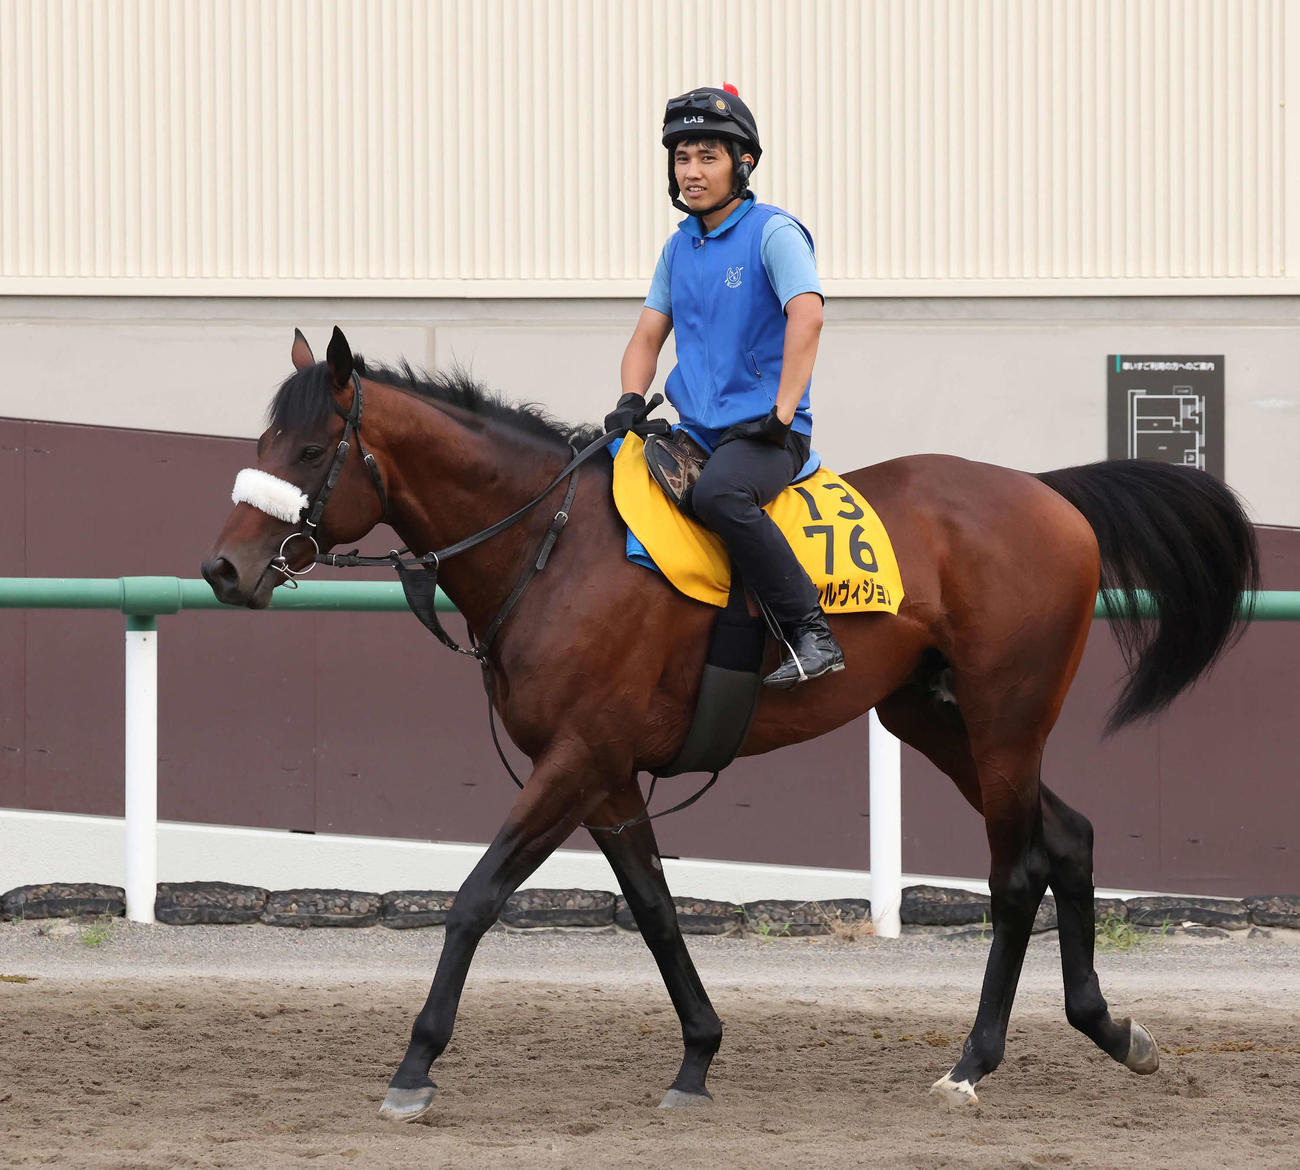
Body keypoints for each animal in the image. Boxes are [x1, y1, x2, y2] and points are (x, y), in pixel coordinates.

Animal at [202, 327, 1258, 1121]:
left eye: (309, 451)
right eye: (261, 444)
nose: (222, 569)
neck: (552, 548)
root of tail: (1047, 493)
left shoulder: (573, 760)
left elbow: (474, 899)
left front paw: (416, 1067)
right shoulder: (605, 773)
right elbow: (656, 910)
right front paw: (698, 1057)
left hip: (1004, 720)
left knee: (1016, 871)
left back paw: (973, 1060)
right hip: (937, 718)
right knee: (1068, 838)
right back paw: (1109, 1028)